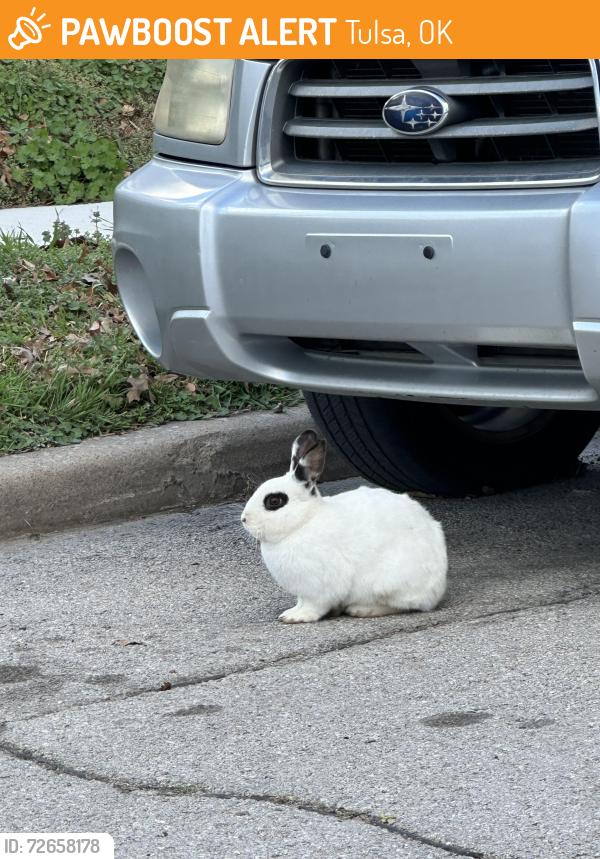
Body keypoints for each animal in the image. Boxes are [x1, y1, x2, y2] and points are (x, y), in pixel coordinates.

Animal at [241, 429, 447, 623]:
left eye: (274, 501)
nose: (244, 519)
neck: (303, 522)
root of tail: (438, 586)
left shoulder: (318, 588)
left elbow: (313, 606)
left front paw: (296, 617)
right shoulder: (303, 592)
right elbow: (300, 602)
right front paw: (291, 612)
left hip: (388, 583)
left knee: (401, 605)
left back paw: (362, 610)